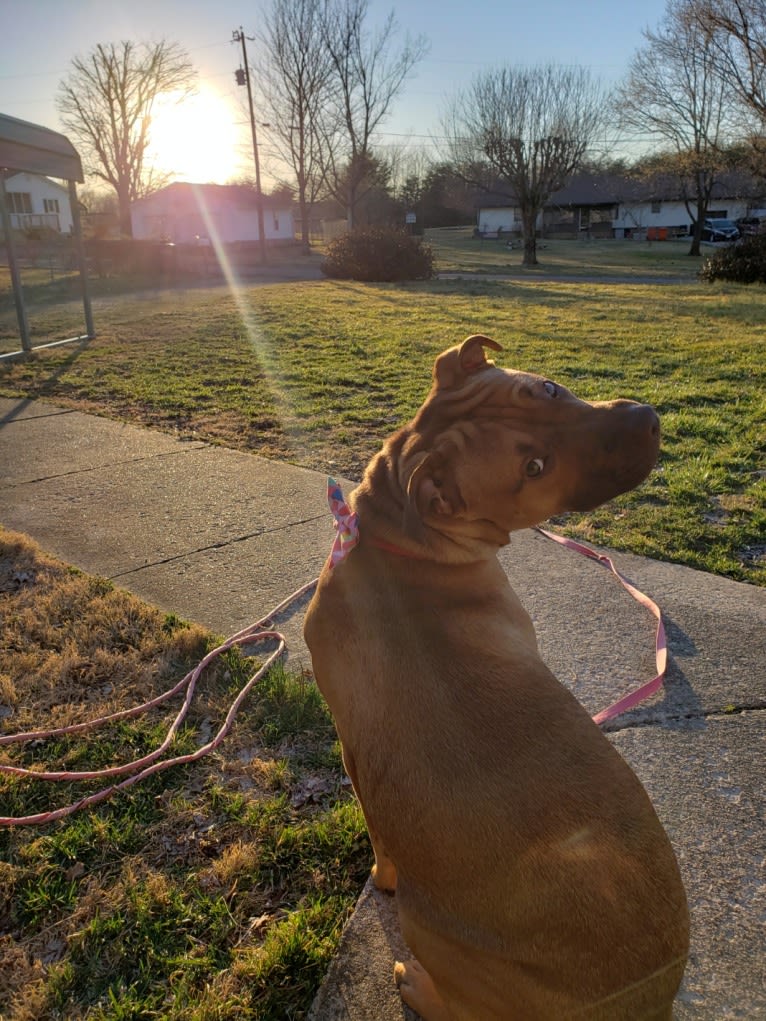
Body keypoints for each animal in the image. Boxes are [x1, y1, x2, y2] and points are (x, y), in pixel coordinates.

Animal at [304, 336, 690, 1021]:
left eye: (550, 389)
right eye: (533, 468)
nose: (647, 419)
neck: (397, 535)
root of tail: (643, 1001)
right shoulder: (351, 749)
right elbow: (380, 841)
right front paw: (381, 877)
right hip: (431, 930)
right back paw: (415, 985)